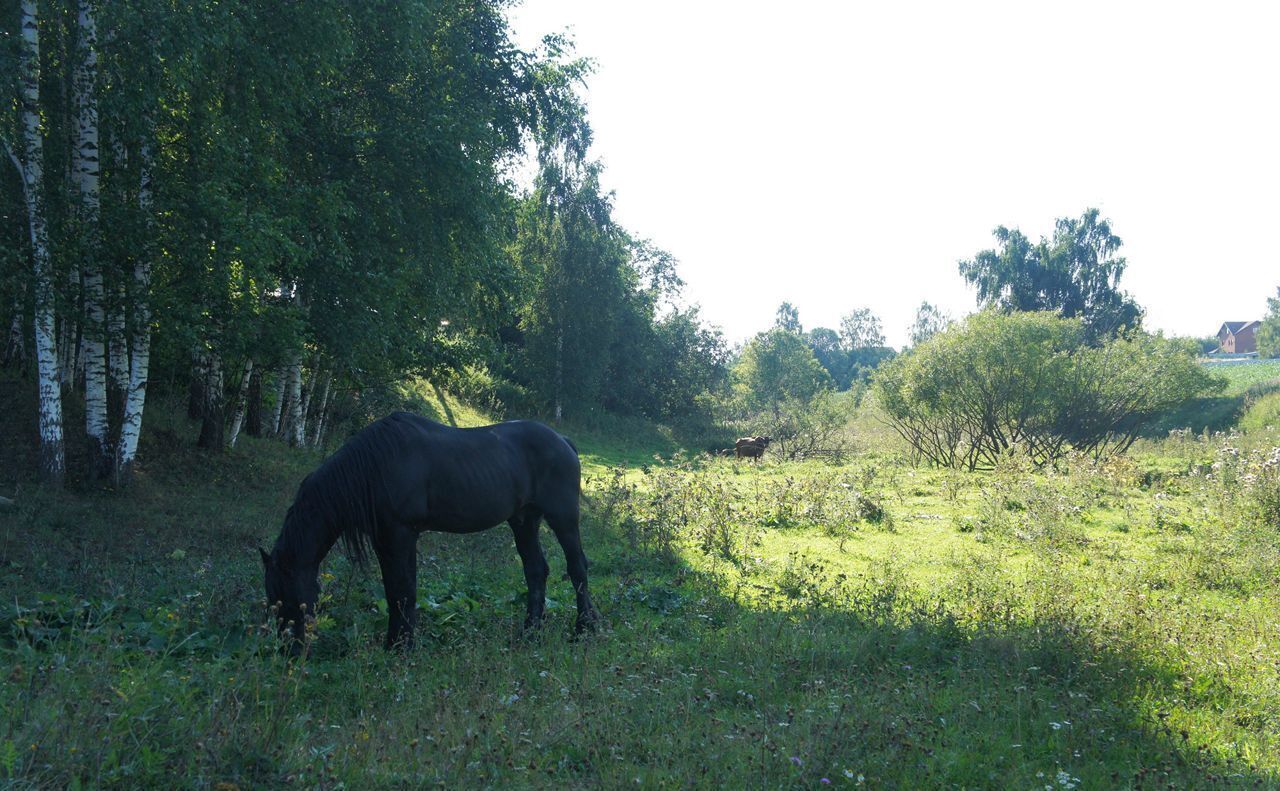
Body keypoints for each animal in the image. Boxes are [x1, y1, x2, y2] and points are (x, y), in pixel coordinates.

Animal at [262, 409, 601, 650]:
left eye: (284, 593)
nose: (288, 650)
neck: (375, 466)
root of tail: (563, 441)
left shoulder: (401, 534)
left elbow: (403, 590)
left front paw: (402, 647)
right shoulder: (384, 539)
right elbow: (395, 590)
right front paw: (397, 642)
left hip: (563, 517)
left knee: (577, 567)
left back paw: (584, 628)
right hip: (524, 520)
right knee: (536, 571)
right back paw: (530, 631)